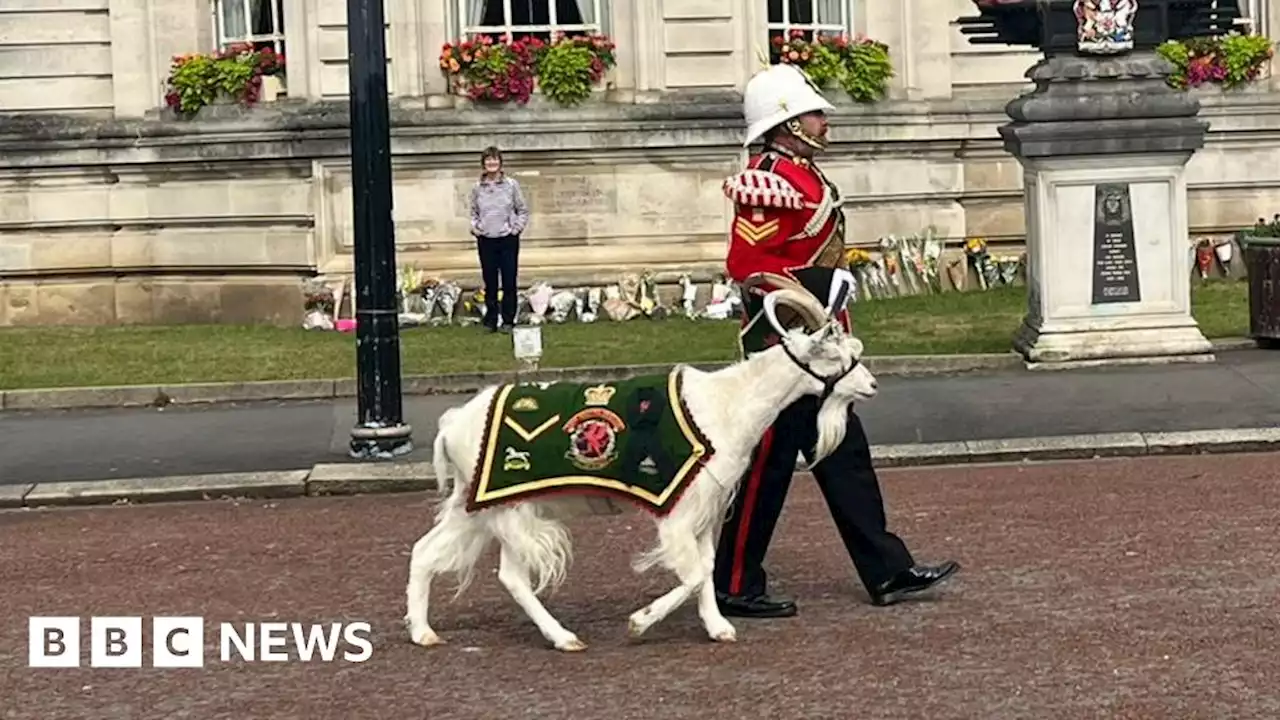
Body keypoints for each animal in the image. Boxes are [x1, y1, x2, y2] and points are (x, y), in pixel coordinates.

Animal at [404, 285, 875, 650]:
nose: (871, 385)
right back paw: (564, 637)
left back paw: (422, 632)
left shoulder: (705, 514)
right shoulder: (677, 513)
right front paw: (640, 621)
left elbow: (706, 569)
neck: (724, 403)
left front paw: (718, 628)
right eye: (837, 357)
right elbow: (695, 572)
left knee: (425, 551)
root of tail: (452, 425)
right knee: (512, 576)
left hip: (477, 505)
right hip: (513, 509)